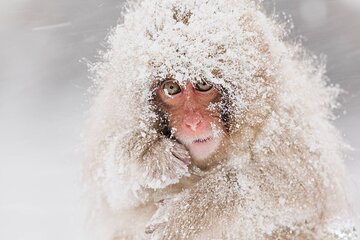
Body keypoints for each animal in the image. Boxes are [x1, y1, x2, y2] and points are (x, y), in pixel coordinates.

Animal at [83, 0, 358, 240]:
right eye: (171, 88)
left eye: (204, 84)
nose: (193, 123)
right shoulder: (116, 119)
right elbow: (109, 191)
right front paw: (149, 154)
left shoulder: (287, 123)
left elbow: (303, 185)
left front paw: (190, 213)